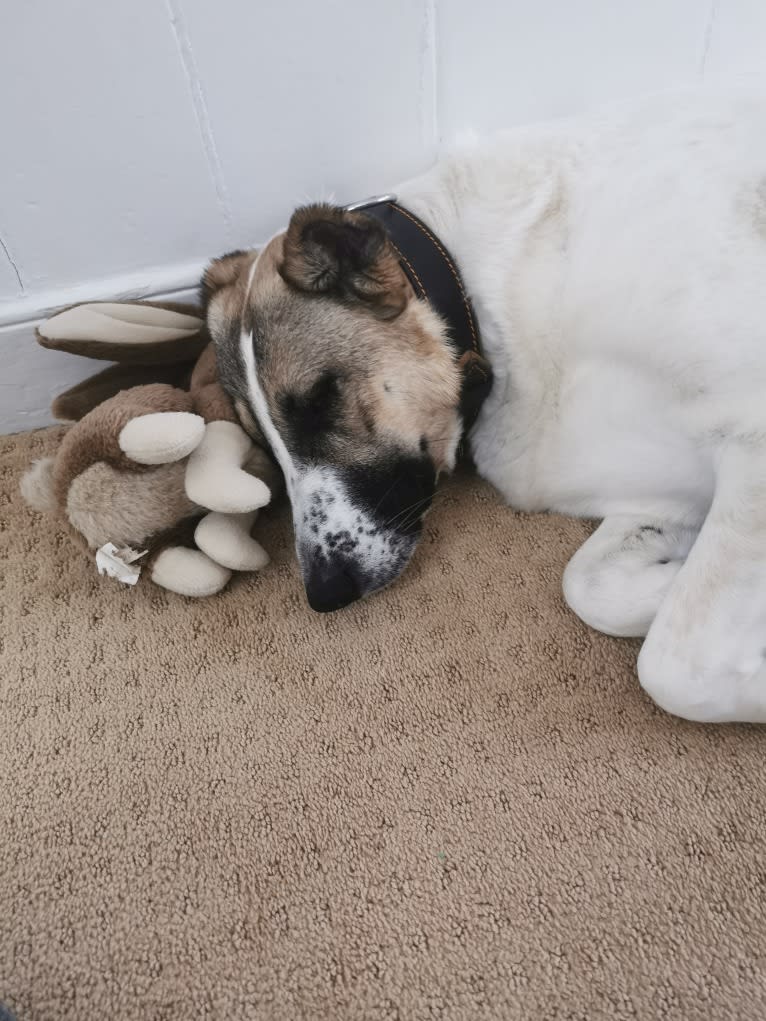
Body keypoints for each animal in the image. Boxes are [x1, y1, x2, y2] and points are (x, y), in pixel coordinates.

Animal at [202, 85, 766, 726]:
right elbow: (590, 587)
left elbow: (672, 666)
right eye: (261, 444)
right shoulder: (658, 493)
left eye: (321, 399)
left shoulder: (752, 444)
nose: (324, 594)